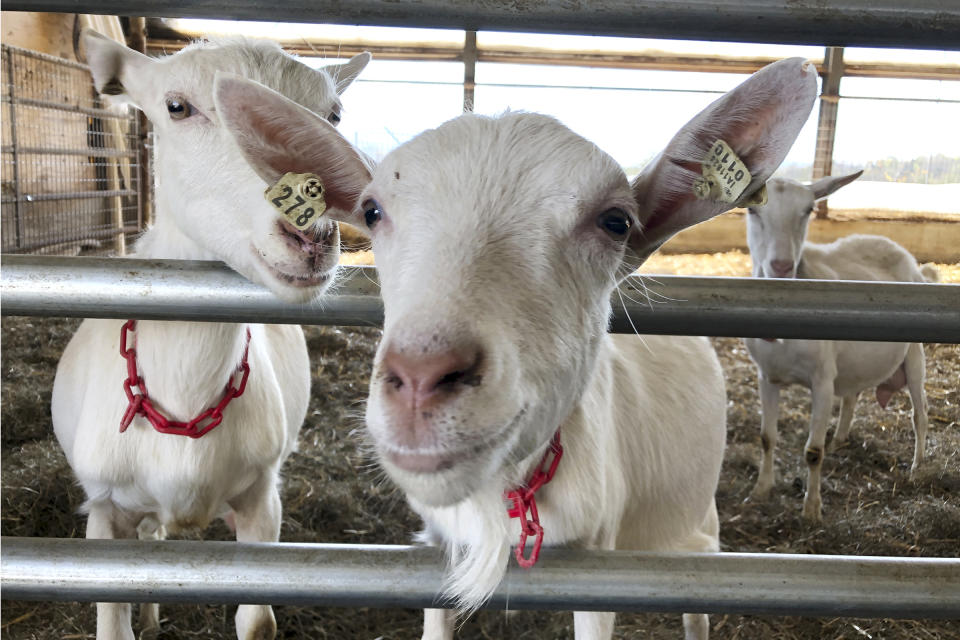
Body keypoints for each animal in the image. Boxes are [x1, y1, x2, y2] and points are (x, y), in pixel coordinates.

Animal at [50, 30, 370, 640]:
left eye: (335, 114)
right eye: (177, 106)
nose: (310, 231)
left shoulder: (262, 500)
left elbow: (257, 622)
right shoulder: (104, 515)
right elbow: (112, 621)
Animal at [216, 57, 816, 636]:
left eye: (616, 222)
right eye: (372, 211)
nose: (421, 382)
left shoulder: (602, 567)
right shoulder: (437, 547)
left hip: (697, 525)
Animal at [744, 174, 936, 520]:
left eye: (808, 210)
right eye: (752, 210)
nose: (781, 265)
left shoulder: (822, 380)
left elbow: (812, 451)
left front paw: (811, 509)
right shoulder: (766, 376)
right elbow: (767, 438)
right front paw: (760, 491)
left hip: (914, 353)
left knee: (920, 413)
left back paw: (916, 467)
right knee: (852, 395)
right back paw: (840, 437)